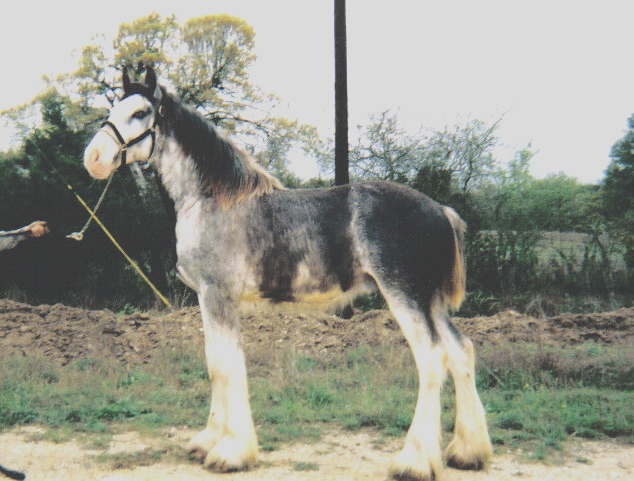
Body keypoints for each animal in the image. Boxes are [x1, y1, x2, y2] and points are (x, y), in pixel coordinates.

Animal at [81, 67, 492, 480]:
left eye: (140, 113)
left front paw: (230, 452)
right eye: (113, 108)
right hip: (432, 303)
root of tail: (441, 211)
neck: (209, 201)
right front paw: (209, 440)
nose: (94, 158)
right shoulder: (207, 299)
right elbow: (215, 363)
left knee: (432, 359)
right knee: (461, 352)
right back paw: (467, 452)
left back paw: (414, 461)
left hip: (405, 297)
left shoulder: (218, 295)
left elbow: (226, 366)